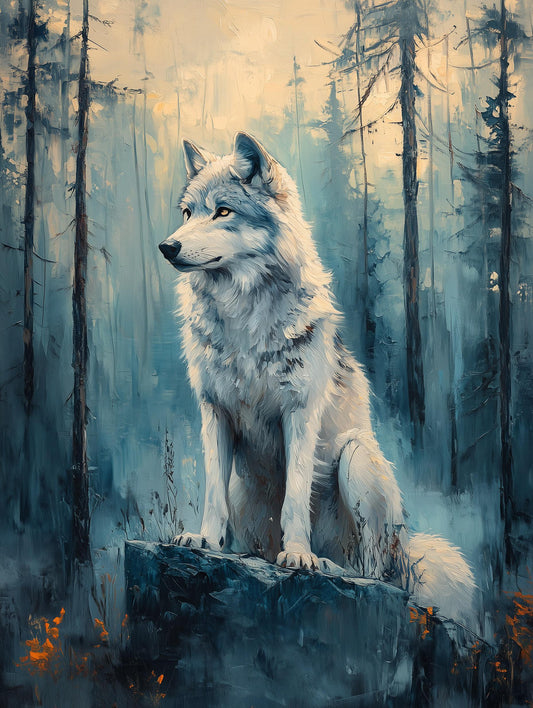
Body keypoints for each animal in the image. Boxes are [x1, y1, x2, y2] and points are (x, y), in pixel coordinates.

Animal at [158, 132, 476, 622]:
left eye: (224, 211)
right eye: (188, 213)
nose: (167, 247)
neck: (242, 317)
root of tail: (408, 555)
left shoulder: (300, 414)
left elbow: (295, 497)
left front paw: (298, 556)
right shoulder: (214, 414)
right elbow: (212, 492)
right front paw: (206, 540)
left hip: (356, 456)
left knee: (373, 571)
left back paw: (327, 564)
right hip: (247, 489)